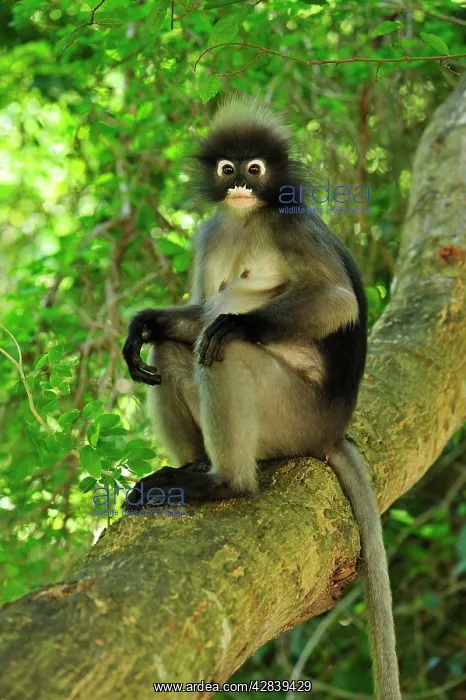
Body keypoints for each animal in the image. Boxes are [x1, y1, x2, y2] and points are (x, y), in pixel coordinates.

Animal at [122, 96, 401, 700]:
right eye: (228, 169)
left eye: (255, 168)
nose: (240, 186)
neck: (247, 220)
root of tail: (332, 429)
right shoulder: (210, 233)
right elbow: (193, 312)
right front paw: (143, 323)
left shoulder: (290, 224)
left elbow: (336, 300)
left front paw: (237, 322)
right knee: (177, 349)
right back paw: (191, 465)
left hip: (291, 414)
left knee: (223, 352)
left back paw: (225, 482)